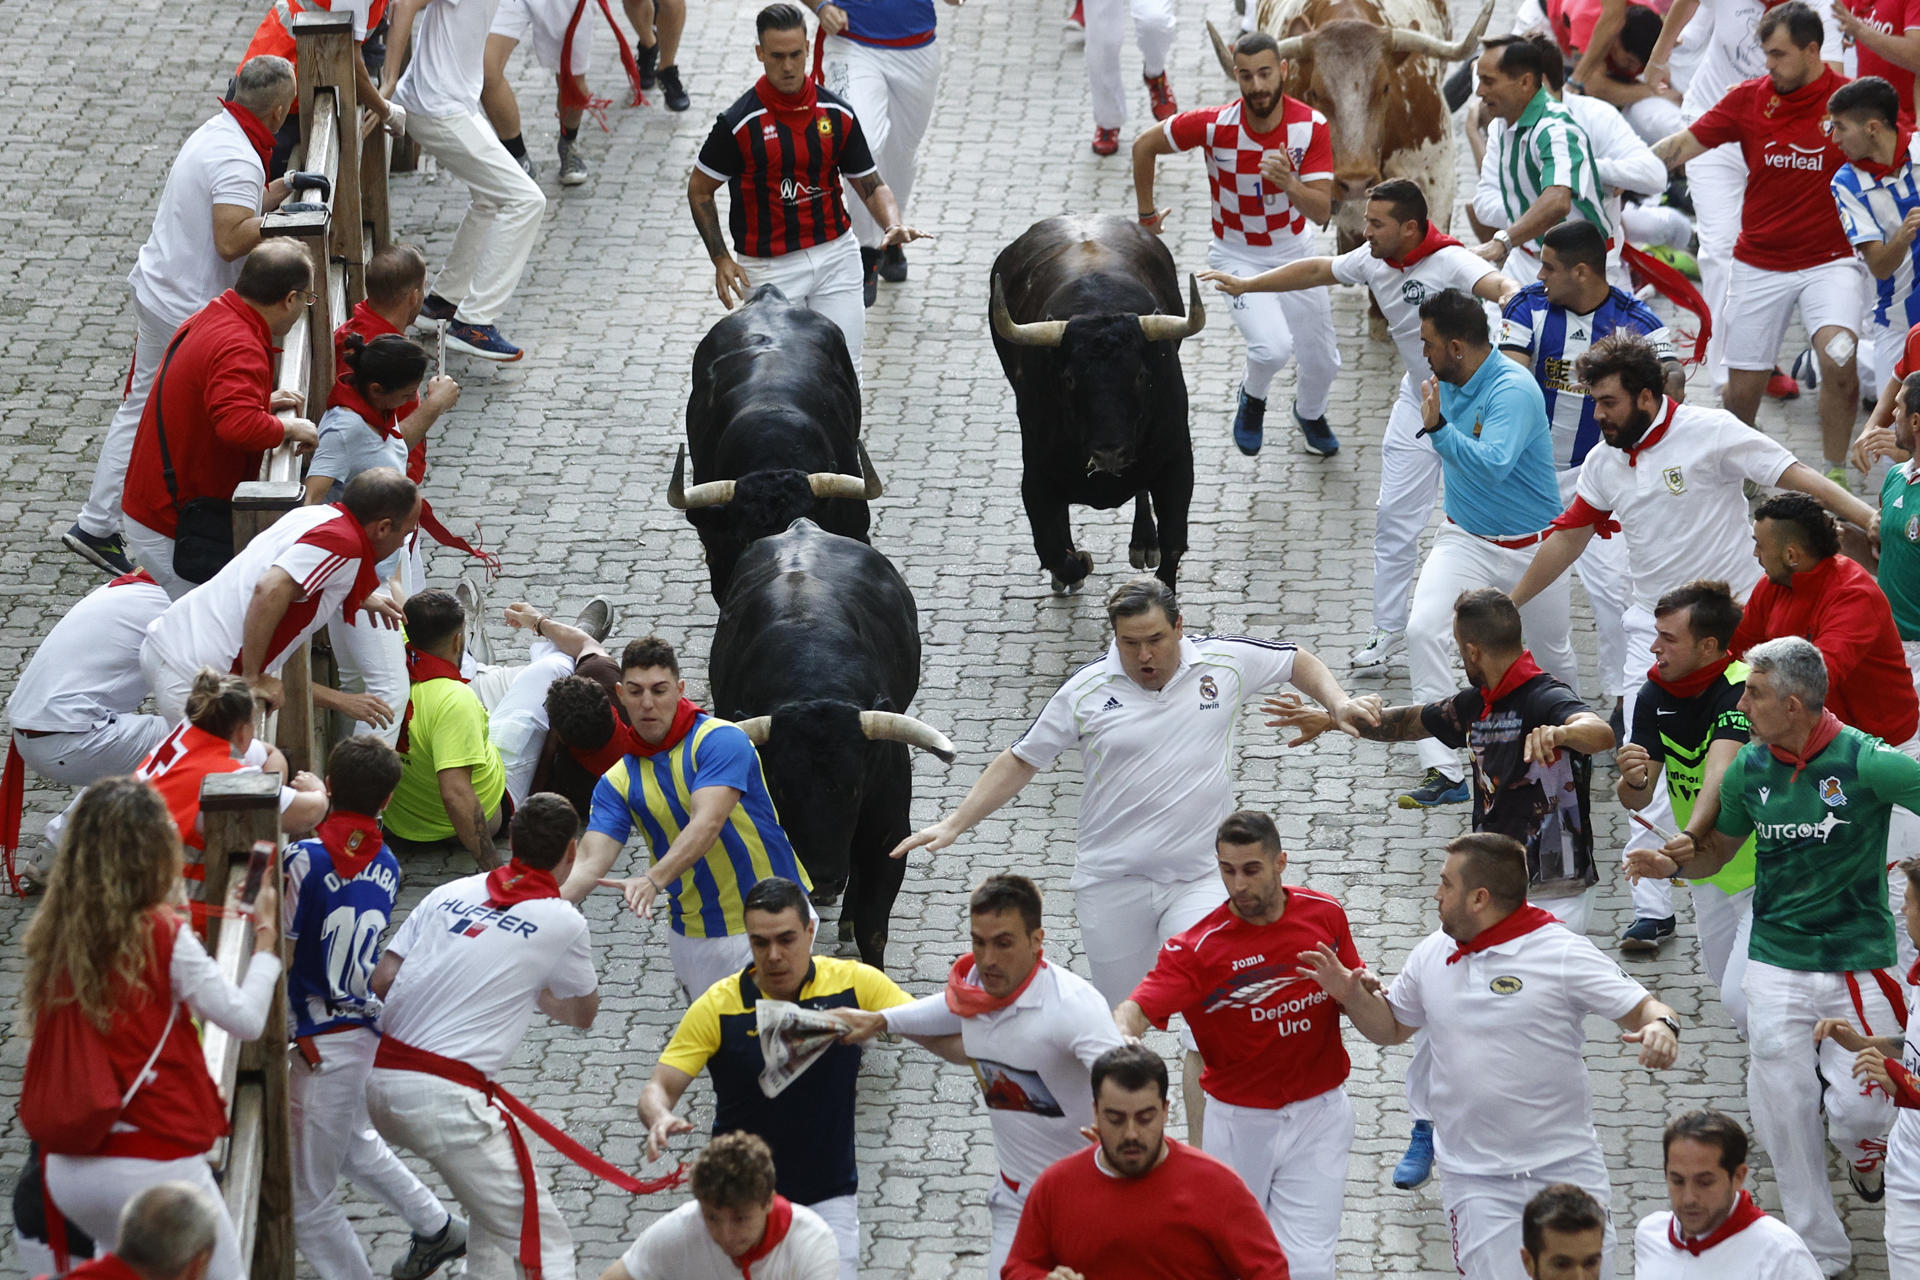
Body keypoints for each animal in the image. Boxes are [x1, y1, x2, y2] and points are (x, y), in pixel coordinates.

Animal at [706, 514, 952, 967]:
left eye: (854, 787)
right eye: (781, 789)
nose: (821, 878)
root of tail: (803, 525)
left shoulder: (889, 832)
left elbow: (875, 928)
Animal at [990, 216, 1198, 594]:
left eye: (1140, 374)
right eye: (1070, 378)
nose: (1109, 450)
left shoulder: (1177, 465)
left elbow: (1174, 542)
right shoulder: (1036, 480)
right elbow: (1053, 550)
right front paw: (1076, 562)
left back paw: (1143, 542)